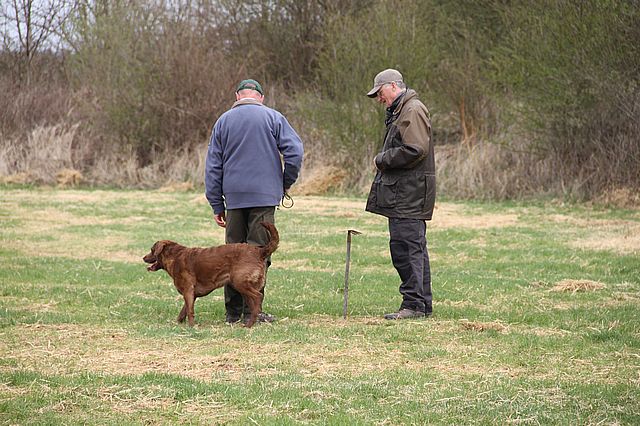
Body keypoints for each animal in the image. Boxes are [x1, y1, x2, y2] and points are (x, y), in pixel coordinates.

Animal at [142, 222, 278, 328]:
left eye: (151, 250)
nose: (143, 258)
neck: (174, 257)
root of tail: (259, 251)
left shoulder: (188, 290)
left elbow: (190, 310)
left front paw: (191, 326)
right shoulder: (192, 293)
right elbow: (184, 310)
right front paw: (179, 323)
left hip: (240, 283)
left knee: (258, 297)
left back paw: (249, 325)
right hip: (244, 288)